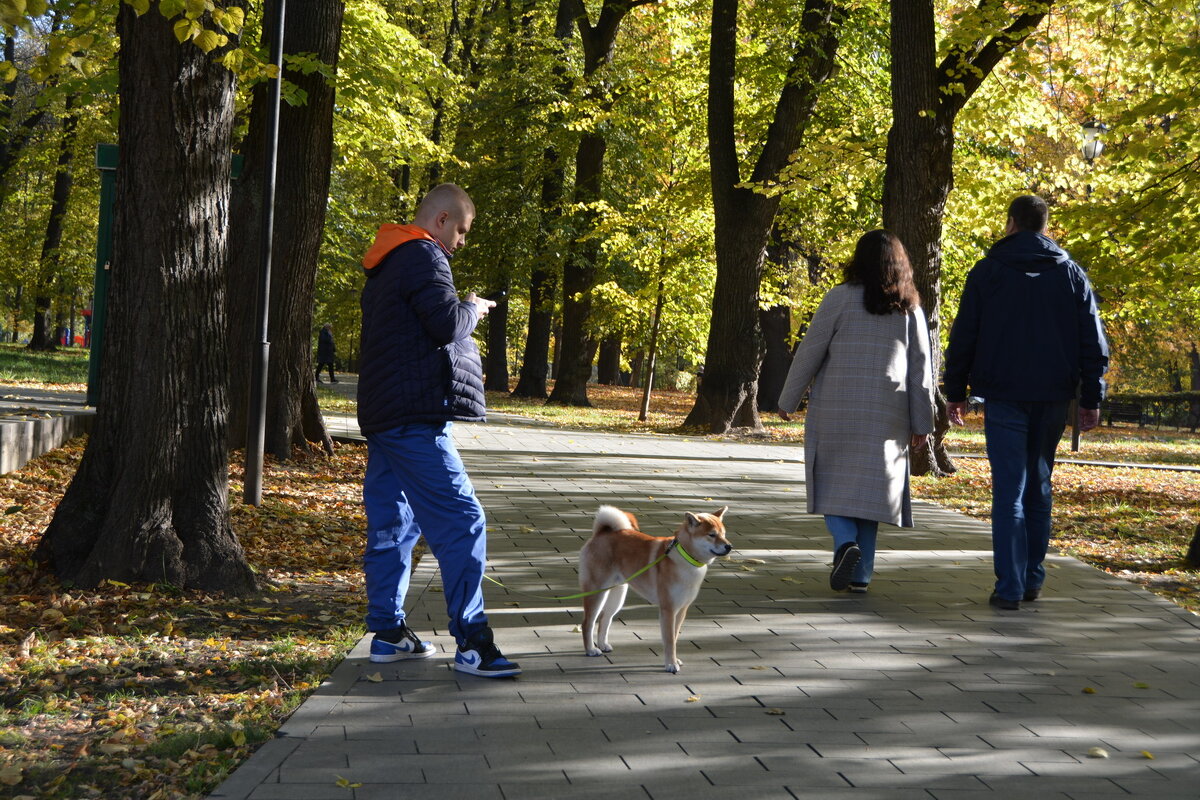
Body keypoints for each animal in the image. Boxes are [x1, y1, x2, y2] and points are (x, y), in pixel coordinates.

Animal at [580, 506, 729, 671]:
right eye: (712, 535)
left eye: (724, 534)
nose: (729, 546)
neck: (685, 558)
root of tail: (601, 533)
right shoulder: (668, 609)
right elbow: (669, 640)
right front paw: (671, 664)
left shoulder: (681, 609)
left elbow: (674, 638)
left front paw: (674, 660)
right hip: (596, 591)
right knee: (587, 623)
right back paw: (591, 650)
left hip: (618, 595)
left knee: (604, 618)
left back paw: (602, 645)